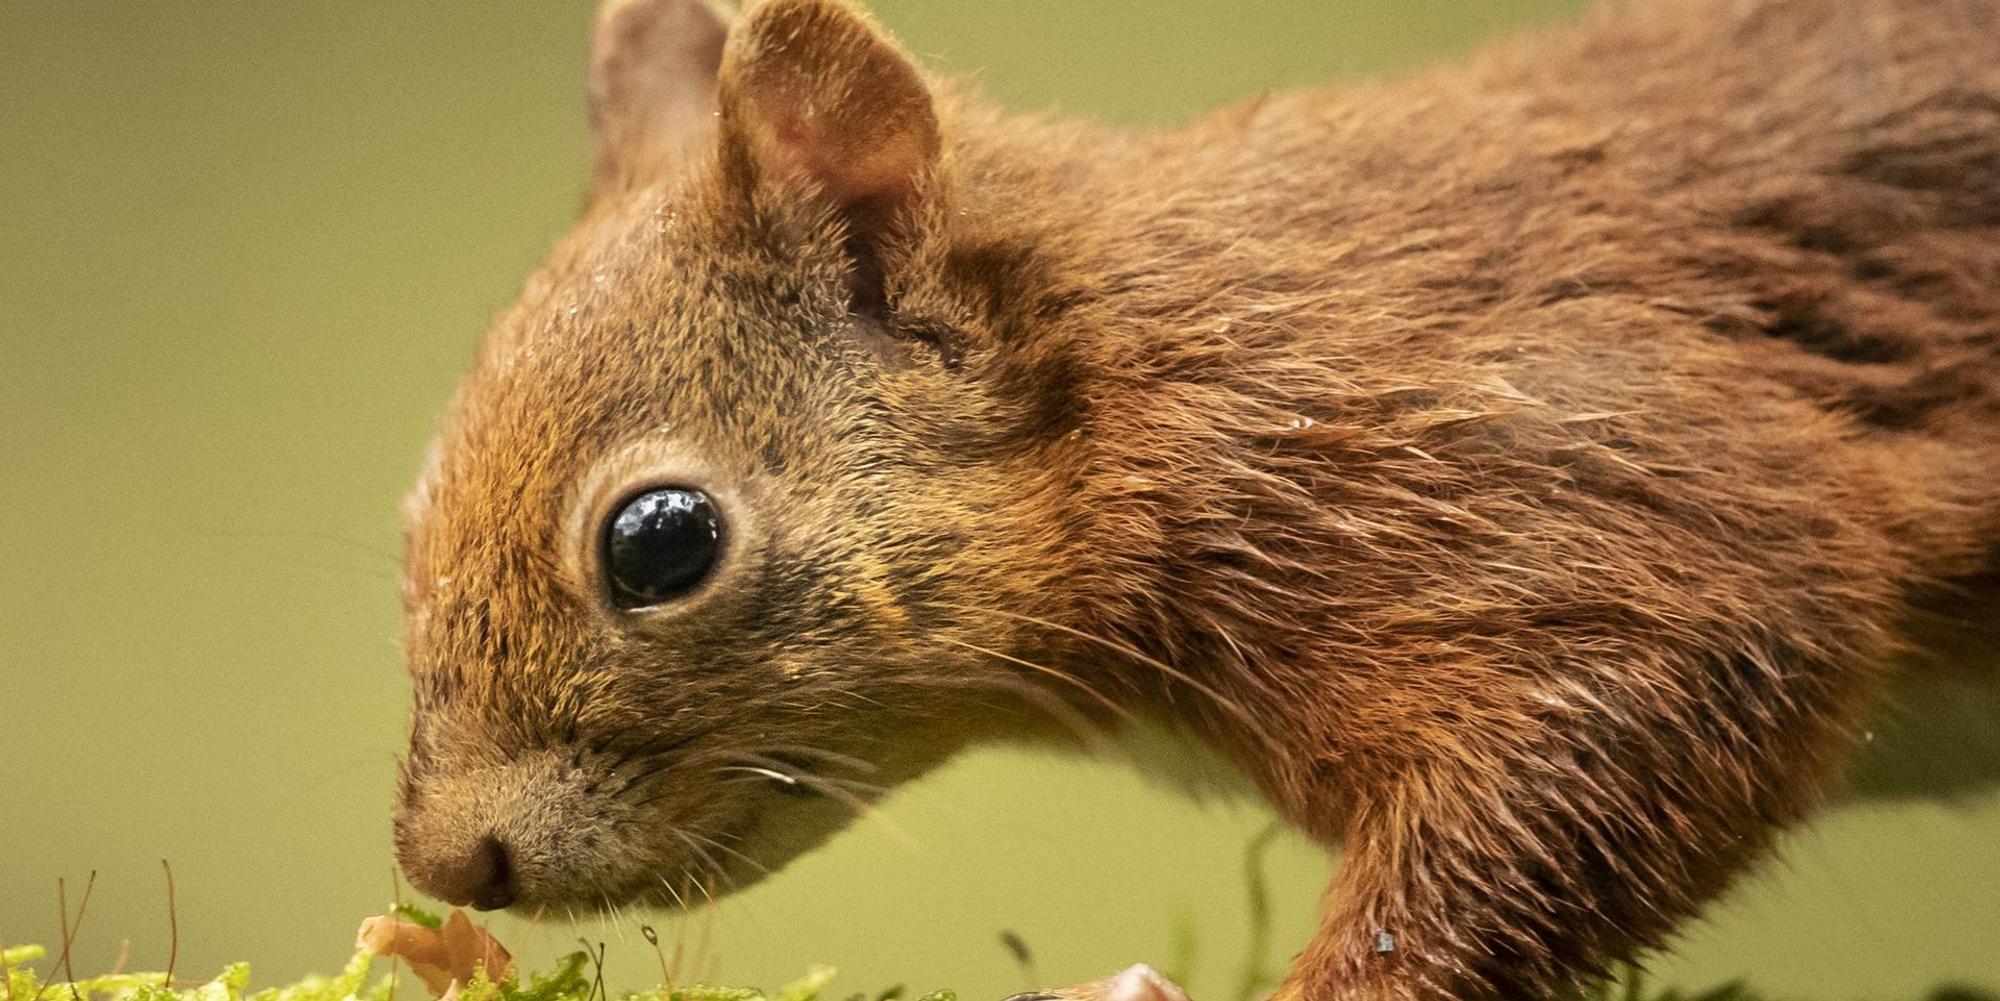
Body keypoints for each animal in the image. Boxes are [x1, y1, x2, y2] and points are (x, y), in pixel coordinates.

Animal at [389, 0, 2000, 998]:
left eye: (662, 543)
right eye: (409, 516)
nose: (449, 862)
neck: (1149, 371)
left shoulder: (1559, 473)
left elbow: (1662, 685)